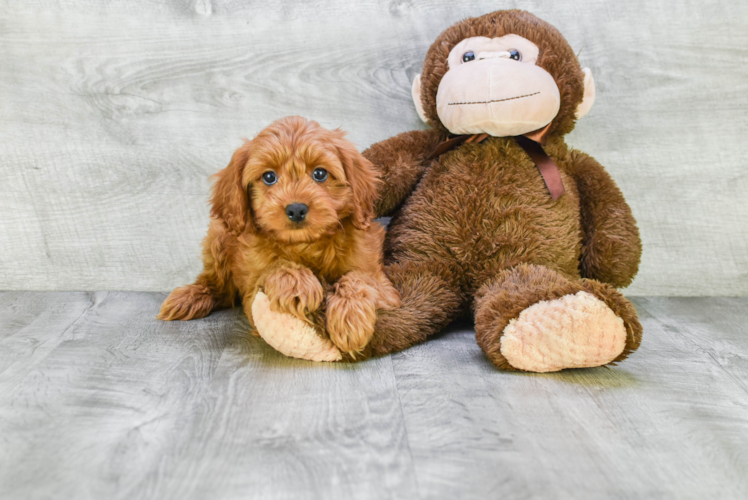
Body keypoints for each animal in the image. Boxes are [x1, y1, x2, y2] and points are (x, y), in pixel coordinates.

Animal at [159, 116, 400, 356]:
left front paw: (350, 318)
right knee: (217, 285)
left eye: (320, 174)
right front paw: (297, 284)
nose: (296, 209)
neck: (305, 244)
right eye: (269, 177)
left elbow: (361, 278)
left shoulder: (384, 284)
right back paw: (190, 297)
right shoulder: (251, 289)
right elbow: (275, 267)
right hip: (218, 237)